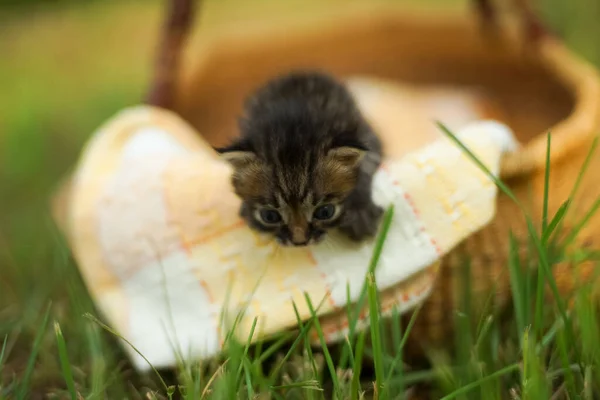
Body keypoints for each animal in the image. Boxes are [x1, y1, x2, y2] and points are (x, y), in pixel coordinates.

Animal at [216, 72, 384, 247]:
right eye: (270, 216)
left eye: (325, 212)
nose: (299, 242)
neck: (293, 126)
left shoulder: (368, 138)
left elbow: (366, 167)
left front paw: (360, 212)